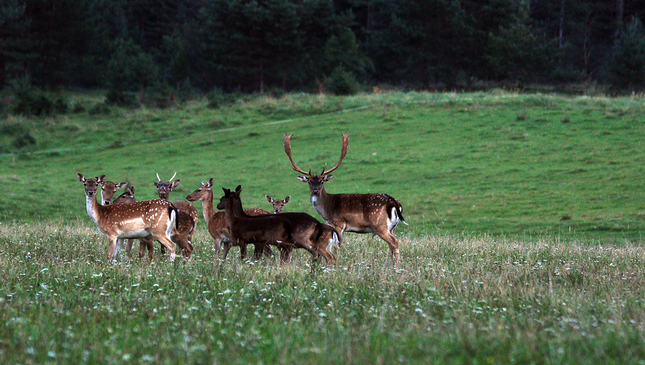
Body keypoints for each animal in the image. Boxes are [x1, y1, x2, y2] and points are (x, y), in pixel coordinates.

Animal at [284, 132, 408, 264]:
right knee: (391, 244)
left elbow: (338, 246)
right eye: (309, 181)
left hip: (380, 225)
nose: (315, 191)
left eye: (322, 181)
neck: (328, 210)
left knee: (394, 242)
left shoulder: (339, 224)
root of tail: (395, 203)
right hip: (393, 226)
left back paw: (397, 264)